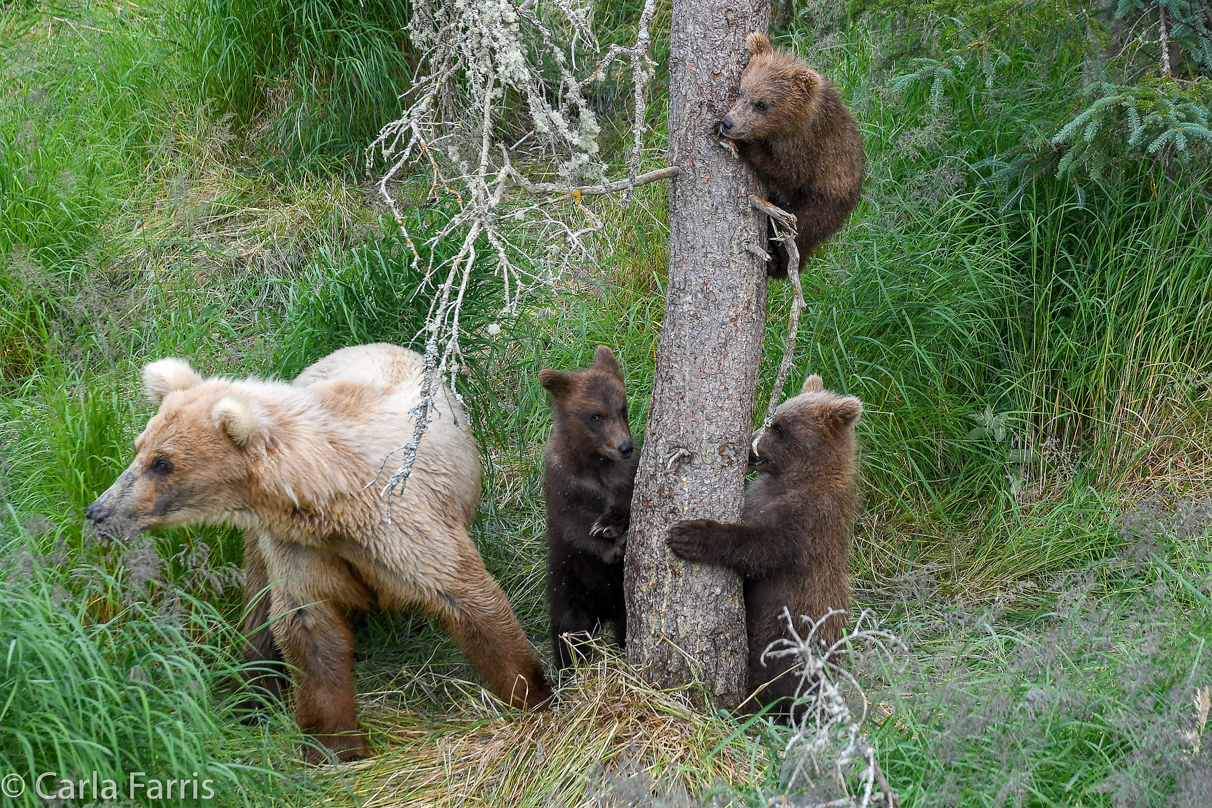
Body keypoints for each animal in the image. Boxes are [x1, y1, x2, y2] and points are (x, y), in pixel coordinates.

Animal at [87, 344, 552, 760]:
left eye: (162, 463)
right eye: (139, 448)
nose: (98, 511)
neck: (328, 495)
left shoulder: (400, 526)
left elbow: (464, 593)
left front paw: (531, 691)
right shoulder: (301, 549)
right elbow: (307, 629)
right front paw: (336, 746)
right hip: (260, 547)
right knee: (257, 605)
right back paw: (251, 695)